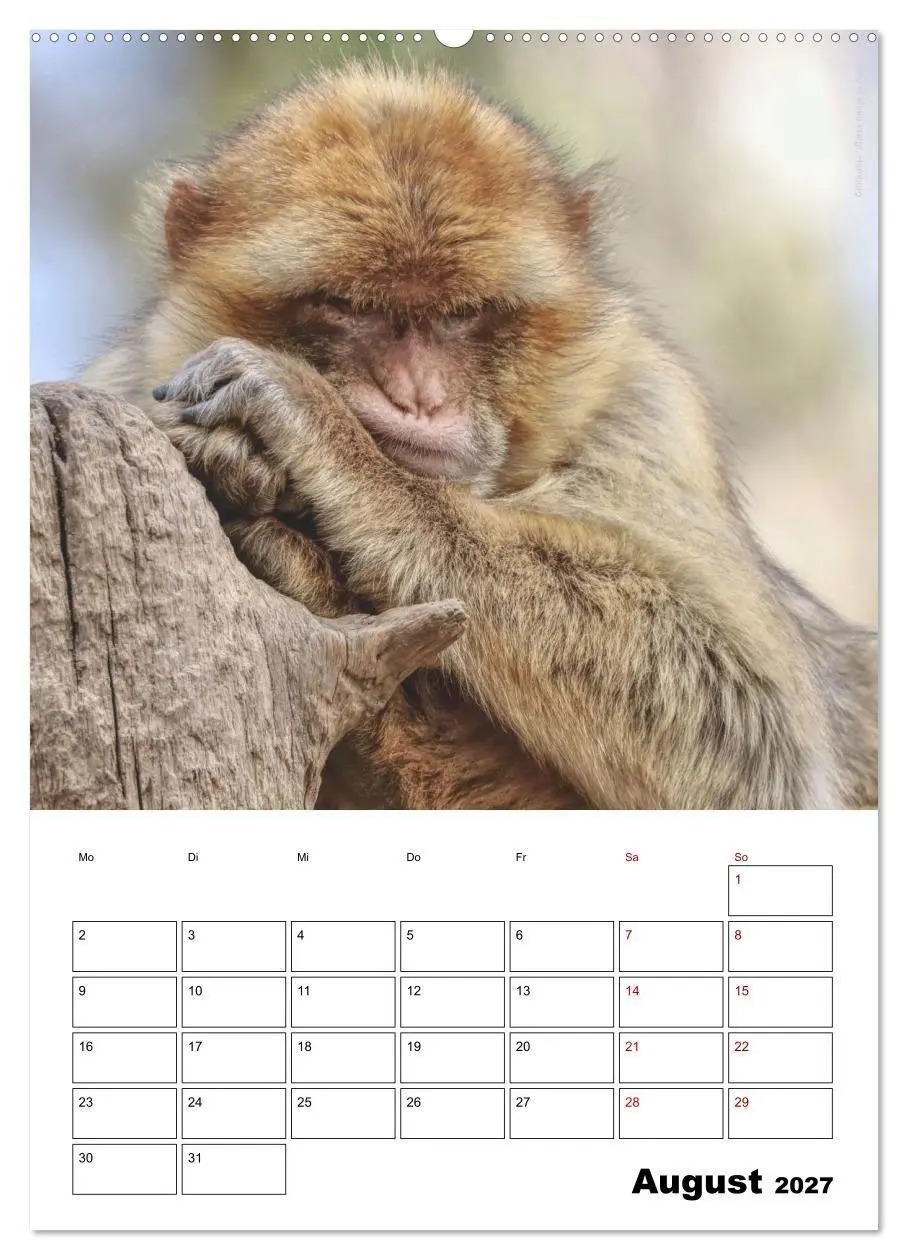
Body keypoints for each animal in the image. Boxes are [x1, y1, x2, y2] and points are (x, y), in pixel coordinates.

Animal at [84, 64, 877, 809]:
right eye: (346, 306)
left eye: (462, 314)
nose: (418, 396)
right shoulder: (119, 389)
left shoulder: (649, 411)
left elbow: (756, 743)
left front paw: (319, 441)